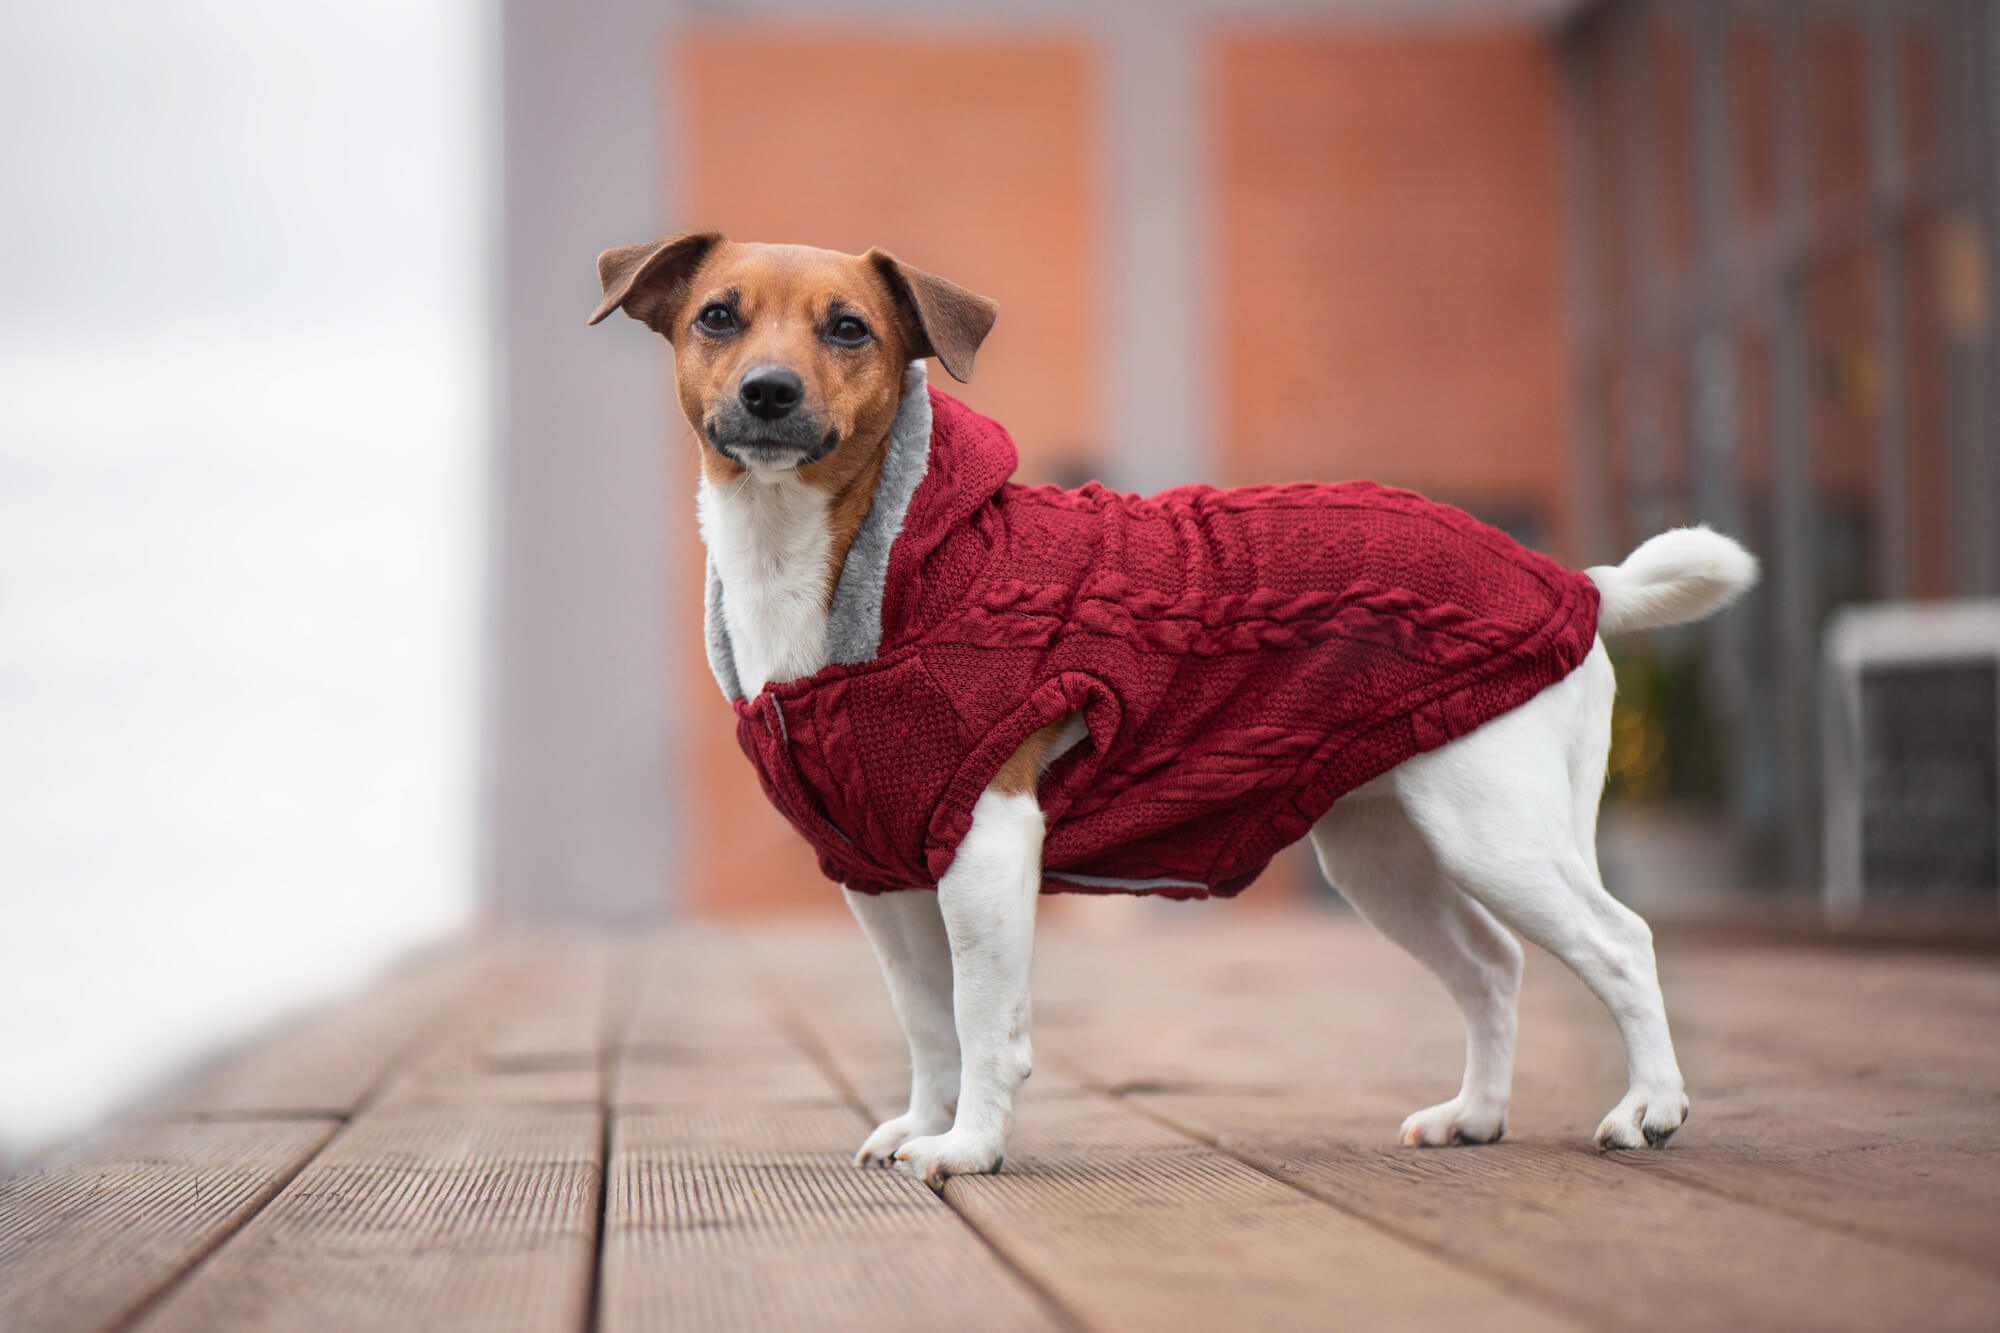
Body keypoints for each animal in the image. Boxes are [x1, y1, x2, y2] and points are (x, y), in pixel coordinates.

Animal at [584, 233, 1760, 1176]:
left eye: (848, 328)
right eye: (717, 316)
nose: (769, 392)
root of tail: (1575, 581)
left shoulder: (986, 845)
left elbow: (983, 1020)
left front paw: (968, 1145)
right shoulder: (882, 875)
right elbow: (925, 1022)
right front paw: (923, 1123)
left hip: (1497, 832)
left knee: (1621, 942)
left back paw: (1649, 1107)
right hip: (1384, 855)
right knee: (1490, 965)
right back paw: (1474, 1114)